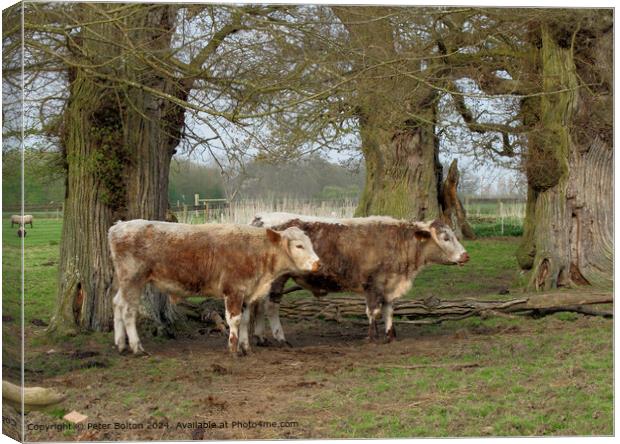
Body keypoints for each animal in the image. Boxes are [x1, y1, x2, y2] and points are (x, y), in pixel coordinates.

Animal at [108, 220, 320, 356]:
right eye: (299, 246)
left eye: (311, 243)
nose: (318, 263)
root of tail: (118, 225)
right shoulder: (234, 290)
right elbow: (234, 320)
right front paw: (233, 349)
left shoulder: (246, 293)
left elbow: (244, 320)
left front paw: (246, 348)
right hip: (133, 279)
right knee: (128, 311)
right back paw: (137, 348)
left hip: (125, 282)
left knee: (117, 304)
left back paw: (121, 345)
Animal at [249, 213, 468, 346]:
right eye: (445, 238)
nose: (466, 256)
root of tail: (260, 219)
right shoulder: (372, 284)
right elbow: (373, 311)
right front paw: (372, 337)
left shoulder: (389, 285)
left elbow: (389, 310)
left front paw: (390, 335)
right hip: (278, 279)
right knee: (270, 306)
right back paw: (280, 338)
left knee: (258, 304)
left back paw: (260, 337)